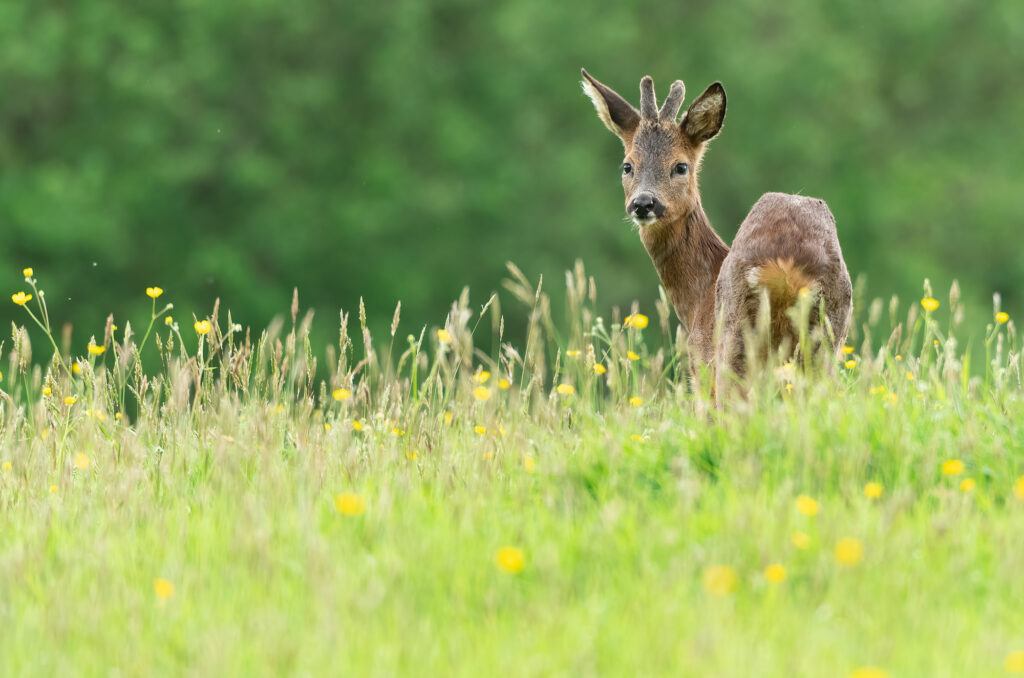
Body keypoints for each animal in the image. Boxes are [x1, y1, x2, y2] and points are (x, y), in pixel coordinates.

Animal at [581, 69, 851, 399]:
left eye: (681, 166)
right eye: (627, 166)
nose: (643, 203)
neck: (698, 299)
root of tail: (785, 267)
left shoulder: (700, 364)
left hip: (734, 342)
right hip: (826, 337)